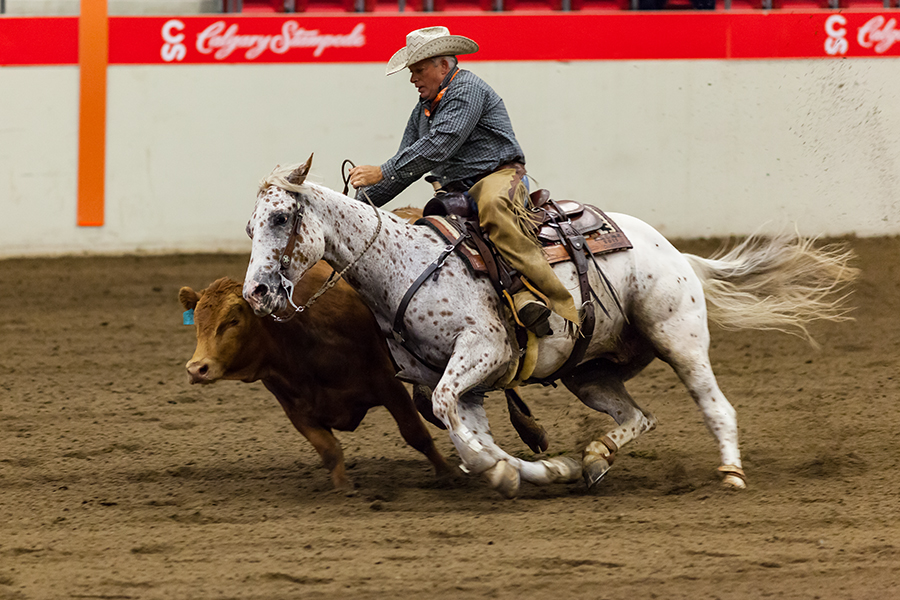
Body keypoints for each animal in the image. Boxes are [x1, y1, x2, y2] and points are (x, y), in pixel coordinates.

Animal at [241, 155, 856, 496]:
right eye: (250, 226)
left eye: (281, 217)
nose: (256, 294)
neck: (405, 264)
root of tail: (675, 251)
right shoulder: (456, 381)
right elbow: (464, 427)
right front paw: (534, 469)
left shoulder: (484, 350)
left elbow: (457, 424)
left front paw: (507, 471)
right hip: (589, 371)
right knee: (639, 416)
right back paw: (594, 458)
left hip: (678, 339)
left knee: (716, 405)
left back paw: (730, 473)